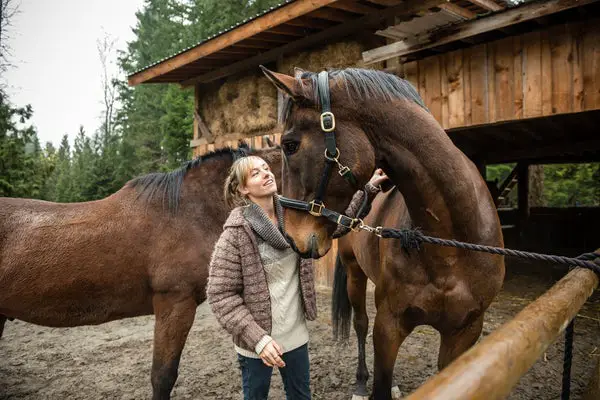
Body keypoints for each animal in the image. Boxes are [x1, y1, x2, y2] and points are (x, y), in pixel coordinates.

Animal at [262, 67, 502, 398]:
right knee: (361, 323)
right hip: (355, 274)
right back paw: (360, 381)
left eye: (290, 145)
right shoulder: (389, 327)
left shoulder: (464, 333)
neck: (449, 246)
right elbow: (380, 379)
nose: (290, 235)